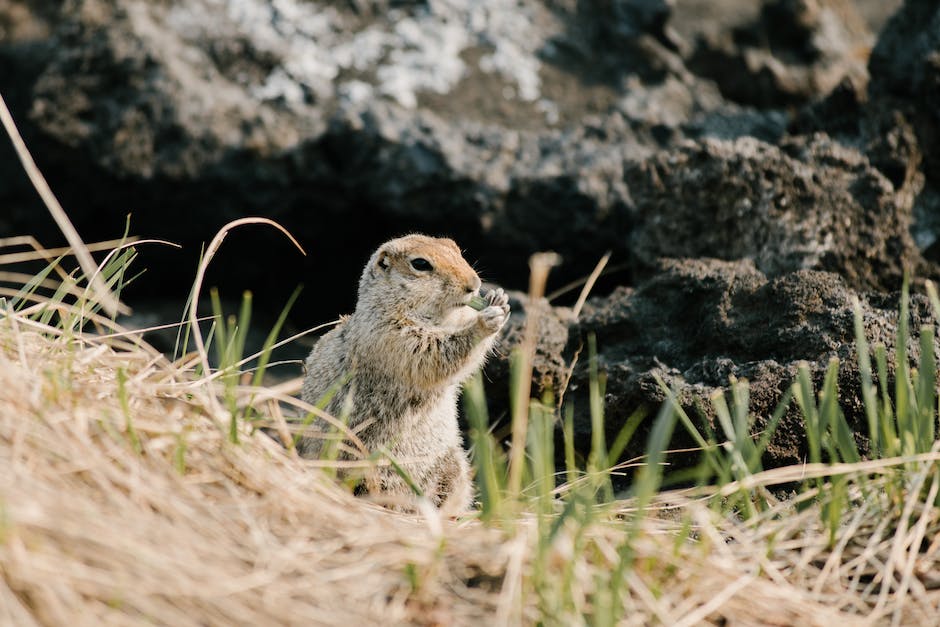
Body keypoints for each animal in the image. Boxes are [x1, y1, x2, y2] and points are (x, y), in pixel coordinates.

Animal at [300, 236, 510, 516]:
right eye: (420, 264)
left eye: (455, 247)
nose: (474, 285)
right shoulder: (391, 333)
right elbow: (432, 352)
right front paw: (484, 322)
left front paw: (499, 299)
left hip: (452, 462)